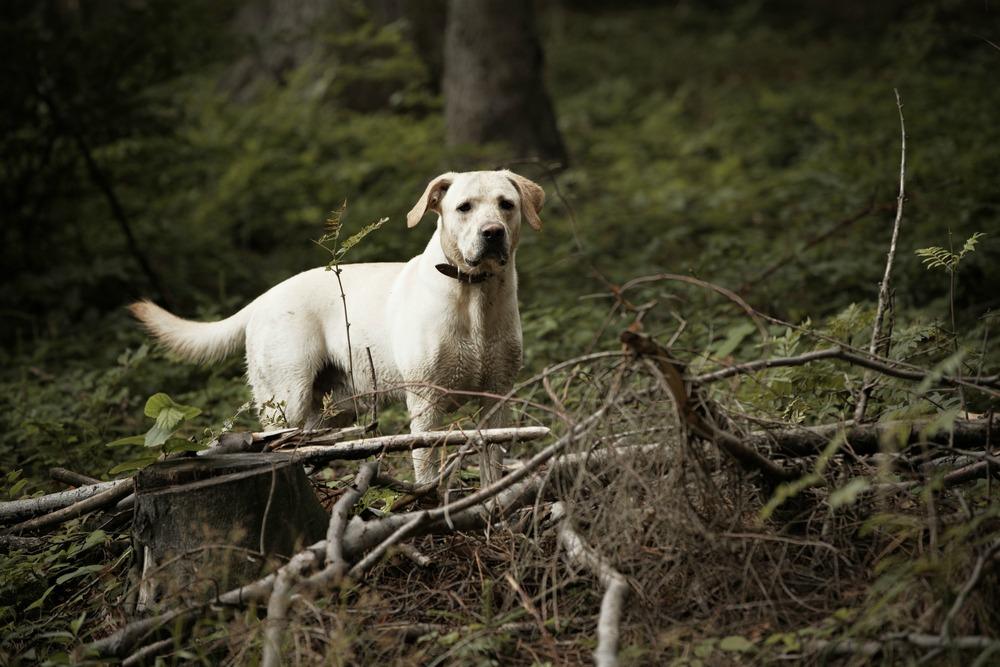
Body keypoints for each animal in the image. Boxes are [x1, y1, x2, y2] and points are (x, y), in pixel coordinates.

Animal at [132, 171, 544, 486]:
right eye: (464, 207)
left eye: (506, 204)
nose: (492, 233)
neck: (475, 294)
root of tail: (262, 299)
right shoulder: (425, 402)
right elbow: (427, 466)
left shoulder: (498, 396)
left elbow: (492, 458)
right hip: (286, 401)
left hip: (333, 411)